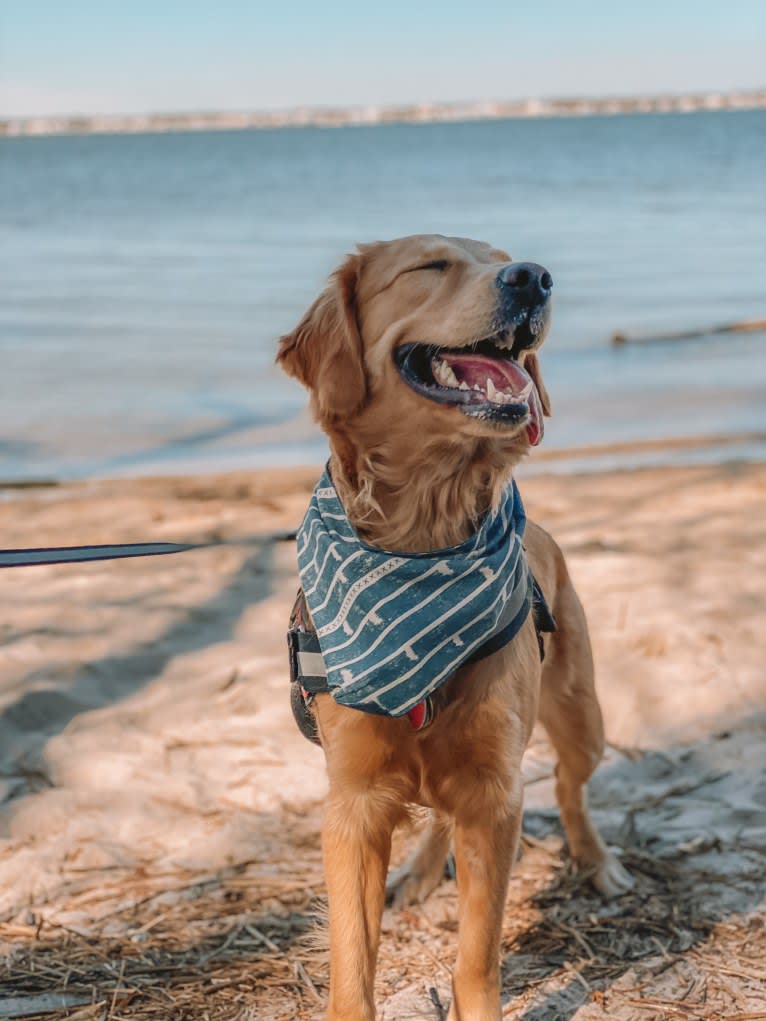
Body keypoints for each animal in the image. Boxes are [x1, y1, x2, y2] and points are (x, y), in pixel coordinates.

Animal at [279, 236, 633, 1021]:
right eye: (429, 266)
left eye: (504, 257)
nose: (533, 277)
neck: (422, 543)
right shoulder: (353, 804)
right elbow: (353, 961)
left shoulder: (492, 795)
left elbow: (477, 957)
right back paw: (417, 874)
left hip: (582, 716)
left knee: (571, 789)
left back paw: (597, 862)